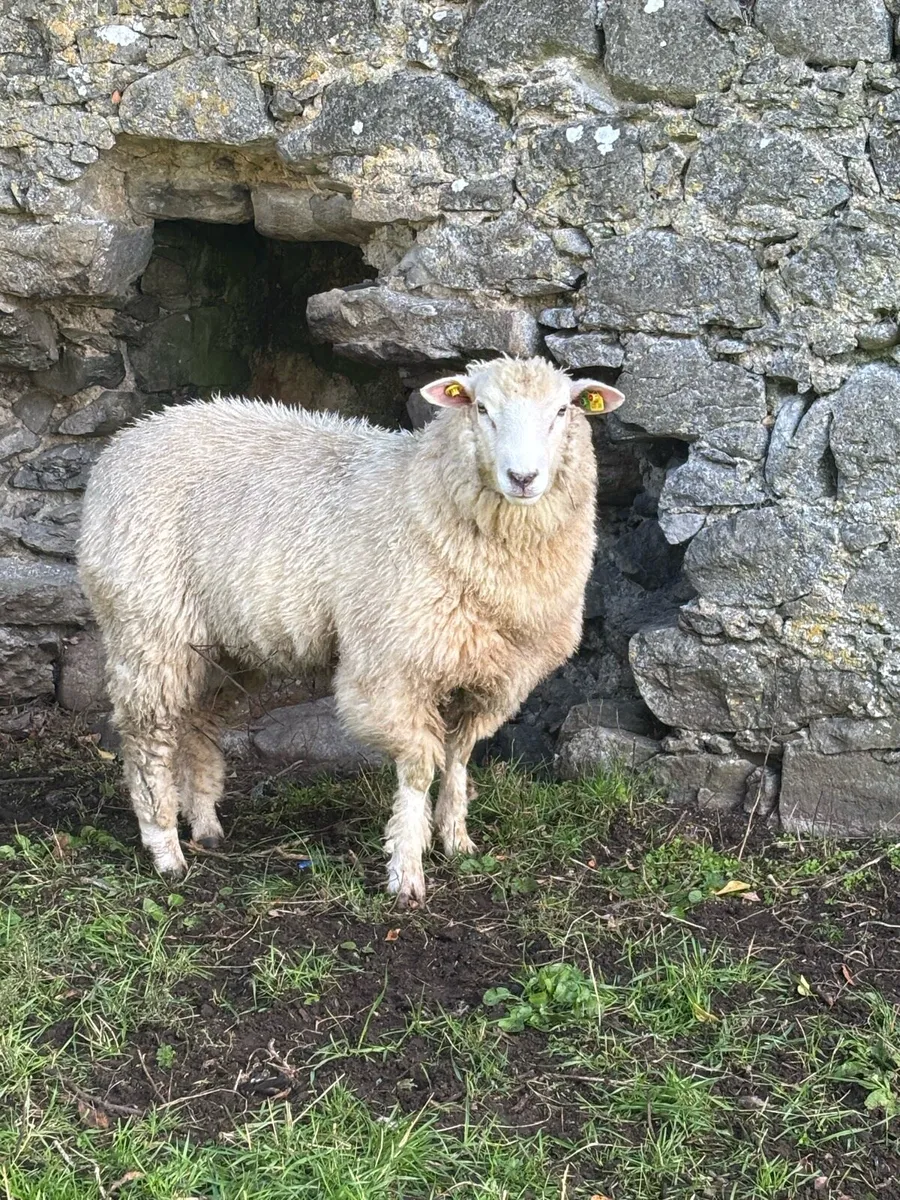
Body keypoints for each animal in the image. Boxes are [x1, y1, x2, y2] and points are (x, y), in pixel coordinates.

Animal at [77, 355, 625, 906]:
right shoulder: (392, 668)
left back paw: (205, 825)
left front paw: (456, 840)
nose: (523, 477)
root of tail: (129, 439)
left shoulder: (493, 674)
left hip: (223, 646)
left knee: (197, 724)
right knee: (148, 738)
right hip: (148, 625)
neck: (423, 493)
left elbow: (458, 757)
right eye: (482, 408)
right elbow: (419, 768)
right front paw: (407, 870)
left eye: (563, 410)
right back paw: (166, 848)